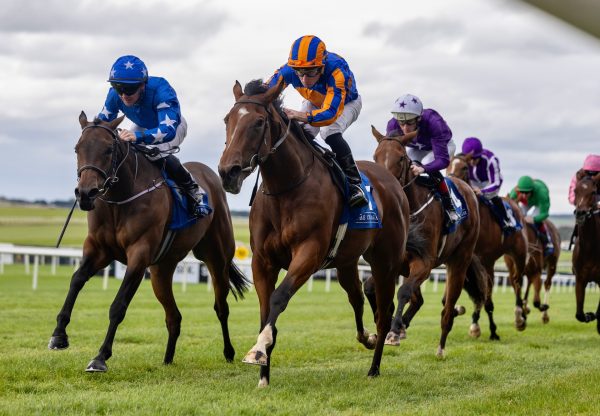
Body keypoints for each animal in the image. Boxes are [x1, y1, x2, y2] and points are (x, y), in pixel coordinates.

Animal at [47, 112, 251, 372]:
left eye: (107, 149)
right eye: (77, 148)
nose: (86, 193)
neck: (120, 199)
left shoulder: (139, 255)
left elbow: (118, 306)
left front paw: (101, 356)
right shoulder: (98, 250)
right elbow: (76, 281)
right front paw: (58, 335)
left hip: (216, 258)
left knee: (221, 307)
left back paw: (228, 352)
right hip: (161, 270)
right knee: (174, 317)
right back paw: (167, 359)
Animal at [218, 80, 410, 386]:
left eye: (258, 122)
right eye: (228, 120)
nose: (228, 172)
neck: (286, 189)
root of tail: (393, 183)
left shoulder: (309, 253)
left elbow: (278, 298)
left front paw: (258, 350)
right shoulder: (262, 260)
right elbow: (265, 311)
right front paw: (264, 376)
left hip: (385, 261)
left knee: (383, 311)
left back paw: (374, 366)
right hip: (346, 263)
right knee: (356, 298)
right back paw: (367, 338)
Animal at [370, 125, 488, 356]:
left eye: (400, 158)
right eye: (375, 156)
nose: (384, 184)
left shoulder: (424, 262)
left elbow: (403, 291)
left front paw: (393, 332)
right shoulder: (394, 262)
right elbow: (369, 286)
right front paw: (384, 324)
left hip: (459, 261)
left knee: (448, 309)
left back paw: (440, 347)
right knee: (420, 299)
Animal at [448, 154, 528, 334]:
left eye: (464, 167)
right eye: (448, 165)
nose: (451, 180)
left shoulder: (486, 261)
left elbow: (487, 296)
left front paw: (490, 330)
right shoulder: (466, 260)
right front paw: (471, 320)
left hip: (519, 253)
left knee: (517, 280)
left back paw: (520, 316)